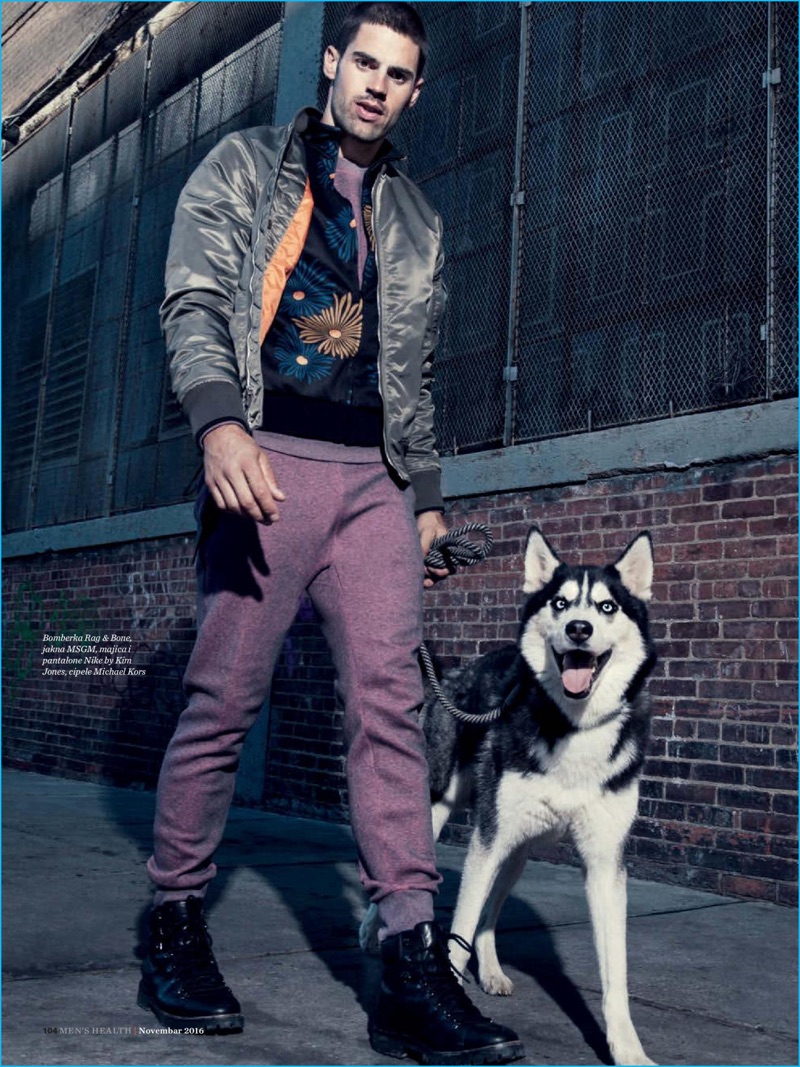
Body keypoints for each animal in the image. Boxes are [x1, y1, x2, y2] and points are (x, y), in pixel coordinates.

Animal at [362, 526, 657, 1066]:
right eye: (560, 603)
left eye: (607, 607)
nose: (579, 629)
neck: (572, 726)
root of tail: (455, 673)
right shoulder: (487, 838)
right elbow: (456, 932)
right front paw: (450, 1015)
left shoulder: (605, 863)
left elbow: (615, 974)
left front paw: (627, 1050)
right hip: (440, 809)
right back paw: (374, 932)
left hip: (516, 849)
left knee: (490, 912)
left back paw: (493, 969)